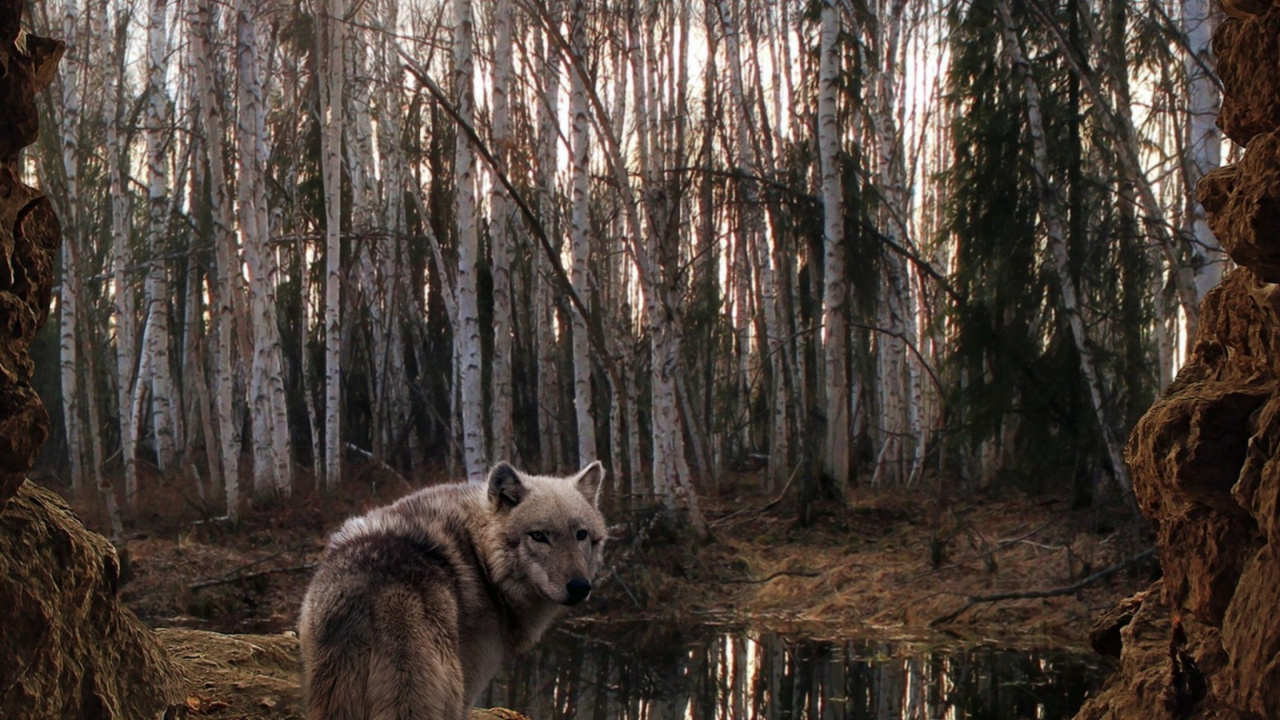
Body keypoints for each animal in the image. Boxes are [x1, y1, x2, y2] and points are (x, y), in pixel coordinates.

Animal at [298, 461, 608, 720]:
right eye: (539, 536)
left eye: (581, 535)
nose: (580, 587)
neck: (481, 559)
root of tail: (379, 593)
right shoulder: (472, 682)